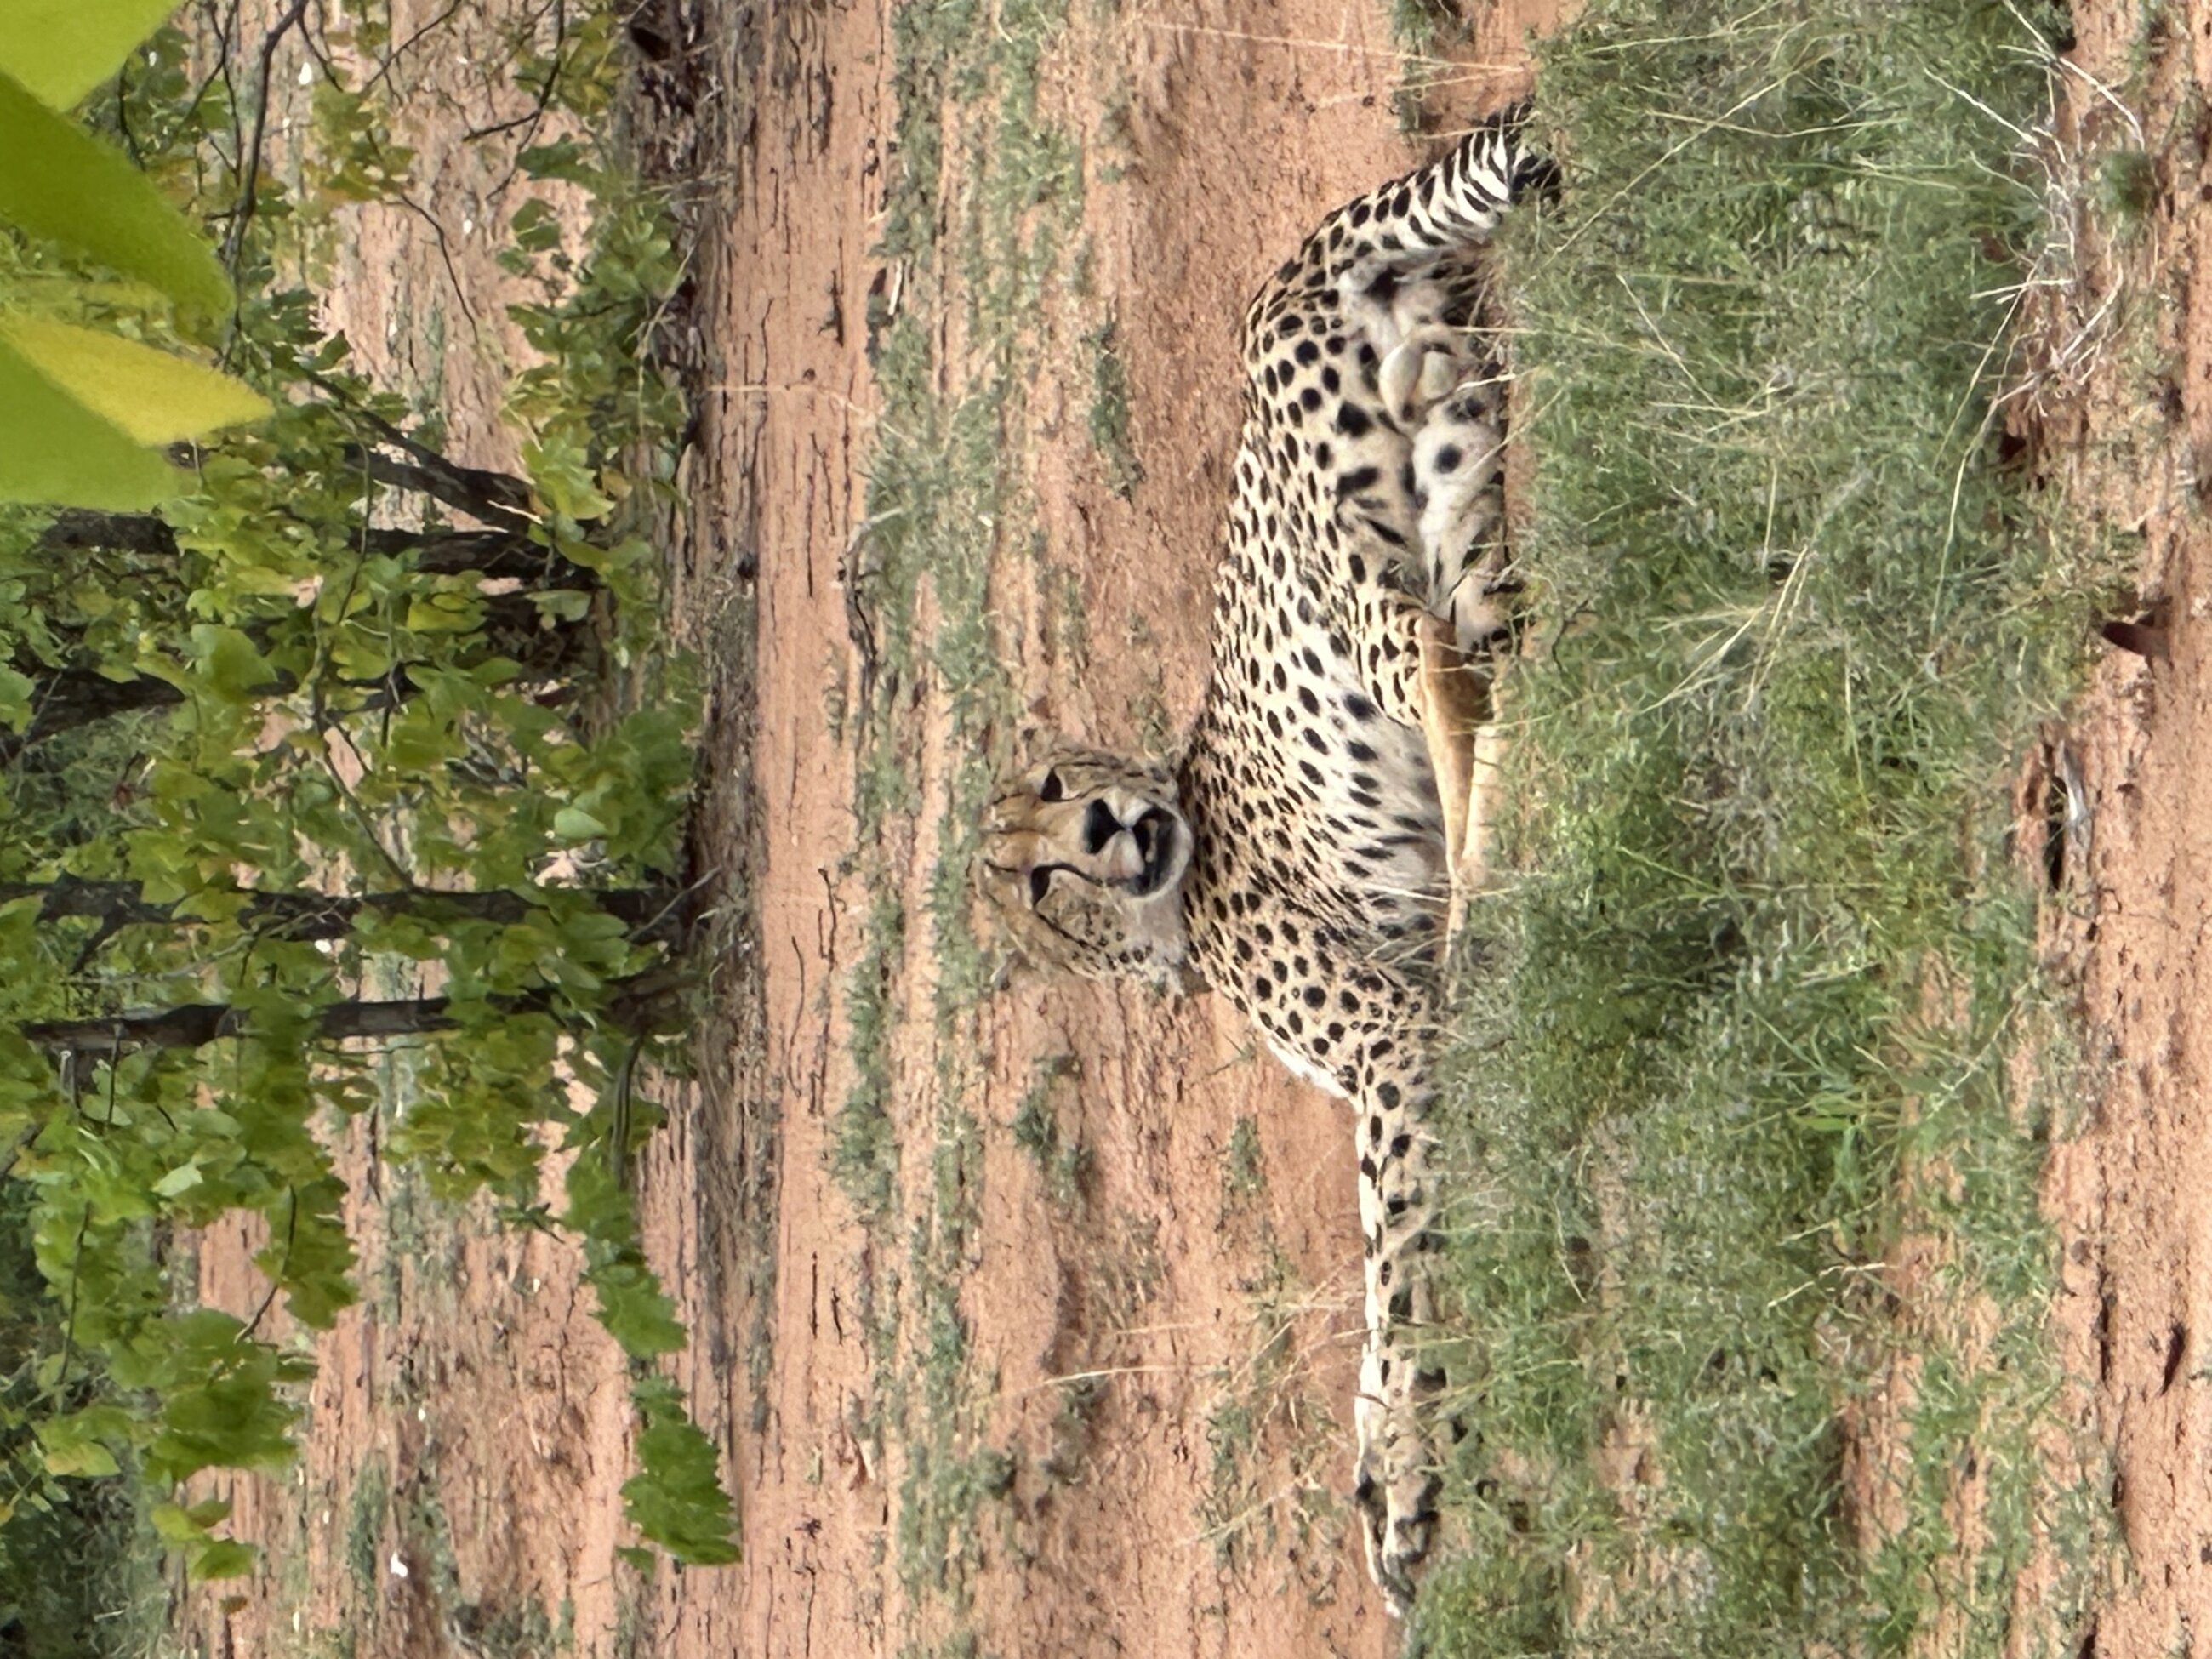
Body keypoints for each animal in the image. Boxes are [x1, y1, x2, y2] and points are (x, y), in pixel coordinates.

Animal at [981, 107, 1555, 1616]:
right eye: (1034, 882)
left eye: (1052, 793)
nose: (1100, 834)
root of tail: (1265, 298)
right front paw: (1389, 1465)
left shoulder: (1393, 1042)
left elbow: (1391, 1256)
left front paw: (1404, 1460)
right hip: (1447, 461)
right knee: (1501, 627)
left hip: (1337, 565)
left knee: (1451, 673)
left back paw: (1490, 885)